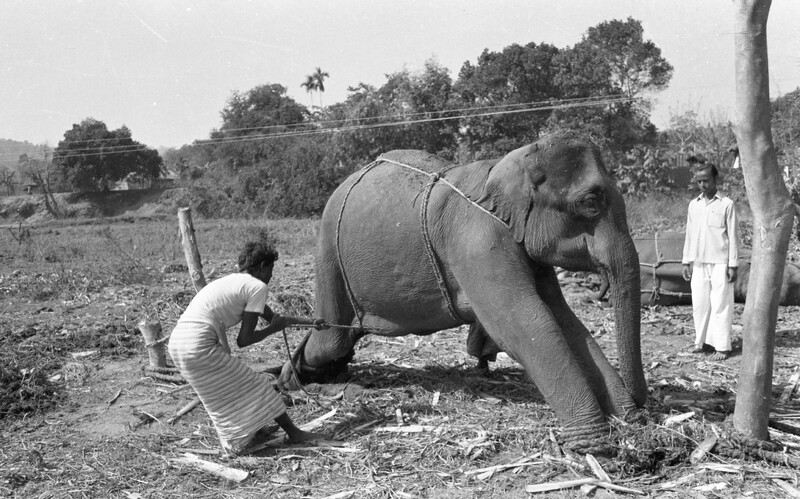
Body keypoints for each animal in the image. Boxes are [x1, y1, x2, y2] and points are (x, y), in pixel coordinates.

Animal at [279, 131, 646, 453]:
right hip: (329, 252)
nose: (641, 404)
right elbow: (526, 323)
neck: (510, 162)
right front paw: (595, 444)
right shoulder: (477, 240)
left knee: (341, 337)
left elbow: (565, 321)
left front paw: (628, 420)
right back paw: (298, 379)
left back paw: (310, 375)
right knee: (330, 340)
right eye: (590, 203)